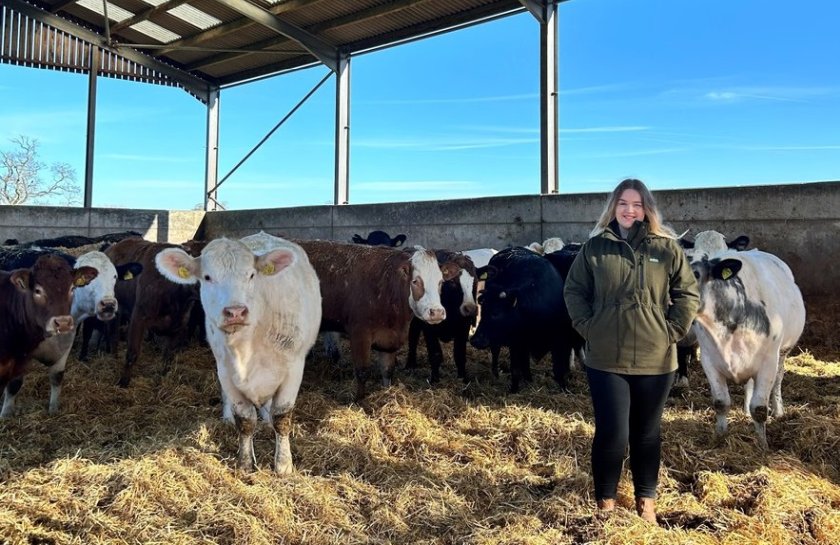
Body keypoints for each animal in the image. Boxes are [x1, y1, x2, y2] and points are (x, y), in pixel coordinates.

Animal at [0, 252, 140, 416]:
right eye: (90, 281)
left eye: (115, 276)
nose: (108, 305)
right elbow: (14, 383)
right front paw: (6, 415)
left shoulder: (65, 344)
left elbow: (57, 377)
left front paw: (53, 410)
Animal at [155, 232, 322, 470]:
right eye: (207, 277)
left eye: (251, 275)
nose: (235, 312)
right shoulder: (226, 371)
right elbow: (245, 419)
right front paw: (245, 463)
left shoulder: (294, 369)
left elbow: (282, 417)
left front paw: (283, 465)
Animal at [296, 240, 460, 398]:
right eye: (415, 281)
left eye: (440, 282)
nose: (437, 312)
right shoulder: (359, 335)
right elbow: (362, 372)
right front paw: (360, 401)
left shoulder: (390, 339)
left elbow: (387, 370)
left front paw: (387, 393)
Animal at [688, 249, 808, 448]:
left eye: (695, 274)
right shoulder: (708, 360)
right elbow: (721, 402)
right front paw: (720, 437)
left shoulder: (768, 362)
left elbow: (759, 409)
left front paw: (762, 445)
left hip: (783, 353)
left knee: (778, 380)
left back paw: (778, 410)